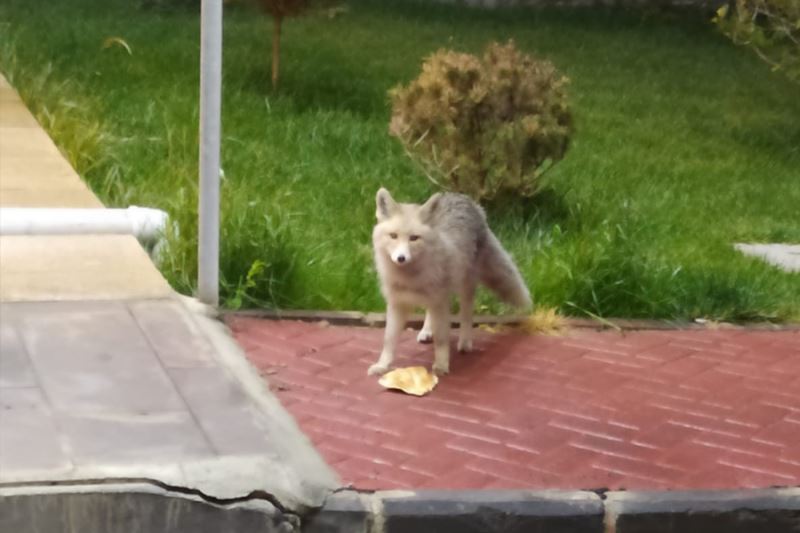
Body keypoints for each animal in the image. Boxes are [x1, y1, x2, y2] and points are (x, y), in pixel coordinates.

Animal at [368, 189, 532, 376]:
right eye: (393, 236)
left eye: (414, 238)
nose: (401, 258)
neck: (411, 280)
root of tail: (462, 197)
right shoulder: (397, 303)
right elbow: (388, 340)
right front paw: (382, 365)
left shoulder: (440, 302)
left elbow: (441, 340)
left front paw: (441, 366)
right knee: (430, 314)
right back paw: (426, 331)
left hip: (465, 287)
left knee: (466, 316)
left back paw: (465, 343)